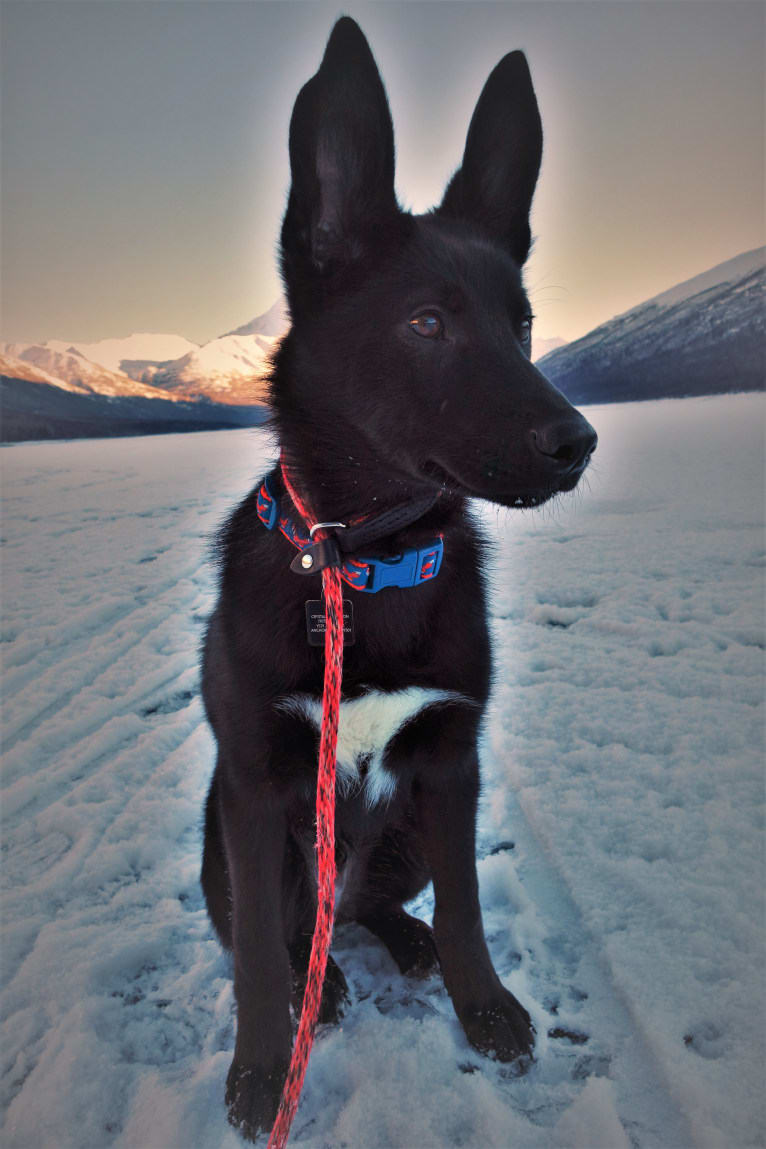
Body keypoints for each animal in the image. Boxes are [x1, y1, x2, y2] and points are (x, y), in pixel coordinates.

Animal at [200, 17, 597, 1139]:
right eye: (427, 322)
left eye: (522, 325)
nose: (579, 443)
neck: (365, 561)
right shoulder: (253, 788)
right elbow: (257, 955)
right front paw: (261, 1071)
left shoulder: (450, 764)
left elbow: (465, 909)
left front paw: (487, 1009)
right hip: (219, 837)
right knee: (292, 929)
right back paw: (324, 985)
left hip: (402, 837)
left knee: (373, 905)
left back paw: (398, 948)